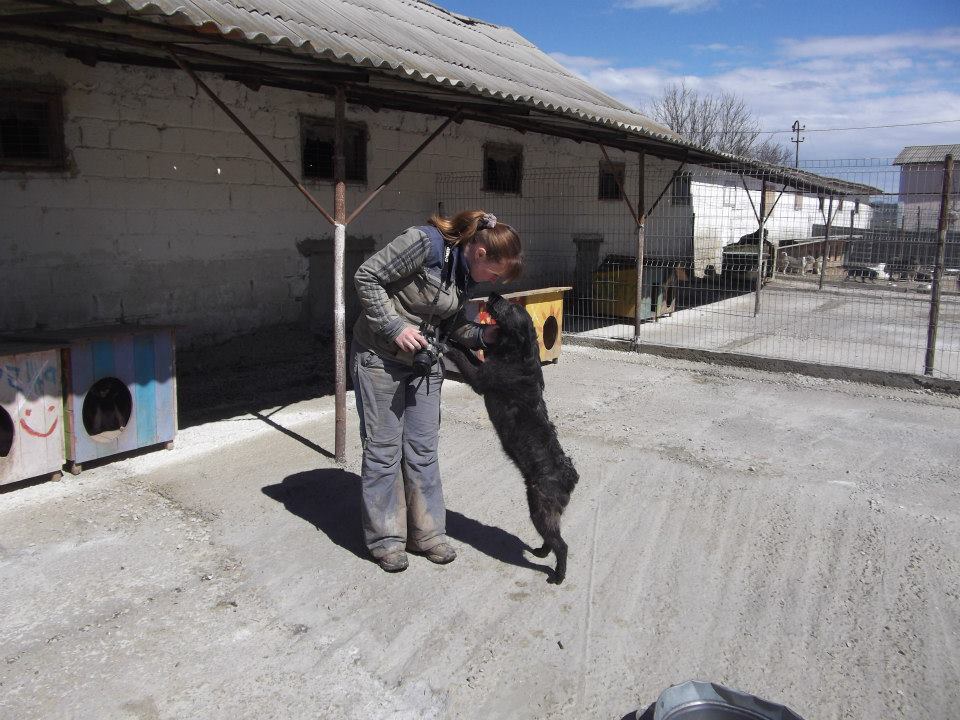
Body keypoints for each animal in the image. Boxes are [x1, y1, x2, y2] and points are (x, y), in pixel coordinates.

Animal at [445, 293, 579, 584]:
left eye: (511, 307)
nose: (494, 294)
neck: (518, 354)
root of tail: (569, 477)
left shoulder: (479, 378)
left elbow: (463, 356)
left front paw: (445, 344)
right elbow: (469, 352)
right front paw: (450, 338)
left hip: (540, 509)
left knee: (562, 545)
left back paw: (558, 575)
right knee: (553, 539)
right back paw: (541, 552)